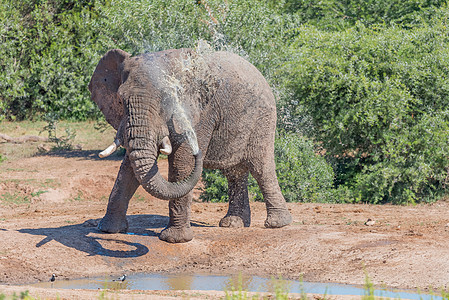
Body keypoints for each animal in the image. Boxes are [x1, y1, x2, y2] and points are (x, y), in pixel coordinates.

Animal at [88, 45, 290, 244]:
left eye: (167, 100)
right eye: (121, 100)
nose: (198, 152)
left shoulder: (202, 112)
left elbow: (183, 160)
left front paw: (174, 240)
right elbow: (129, 166)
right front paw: (108, 230)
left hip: (263, 118)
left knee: (261, 168)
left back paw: (277, 224)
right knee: (235, 172)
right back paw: (233, 224)